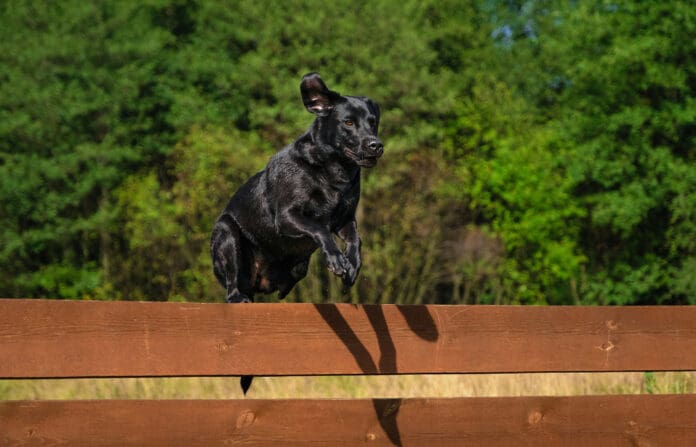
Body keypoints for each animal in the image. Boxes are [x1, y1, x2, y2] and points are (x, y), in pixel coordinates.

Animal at [212, 73, 386, 396]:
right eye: (348, 122)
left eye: (373, 121)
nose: (376, 145)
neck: (334, 171)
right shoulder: (288, 217)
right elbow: (318, 228)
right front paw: (336, 260)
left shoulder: (344, 219)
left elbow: (355, 238)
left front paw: (352, 266)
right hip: (226, 233)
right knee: (232, 286)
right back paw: (238, 296)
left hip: (296, 268)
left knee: (294, 273)